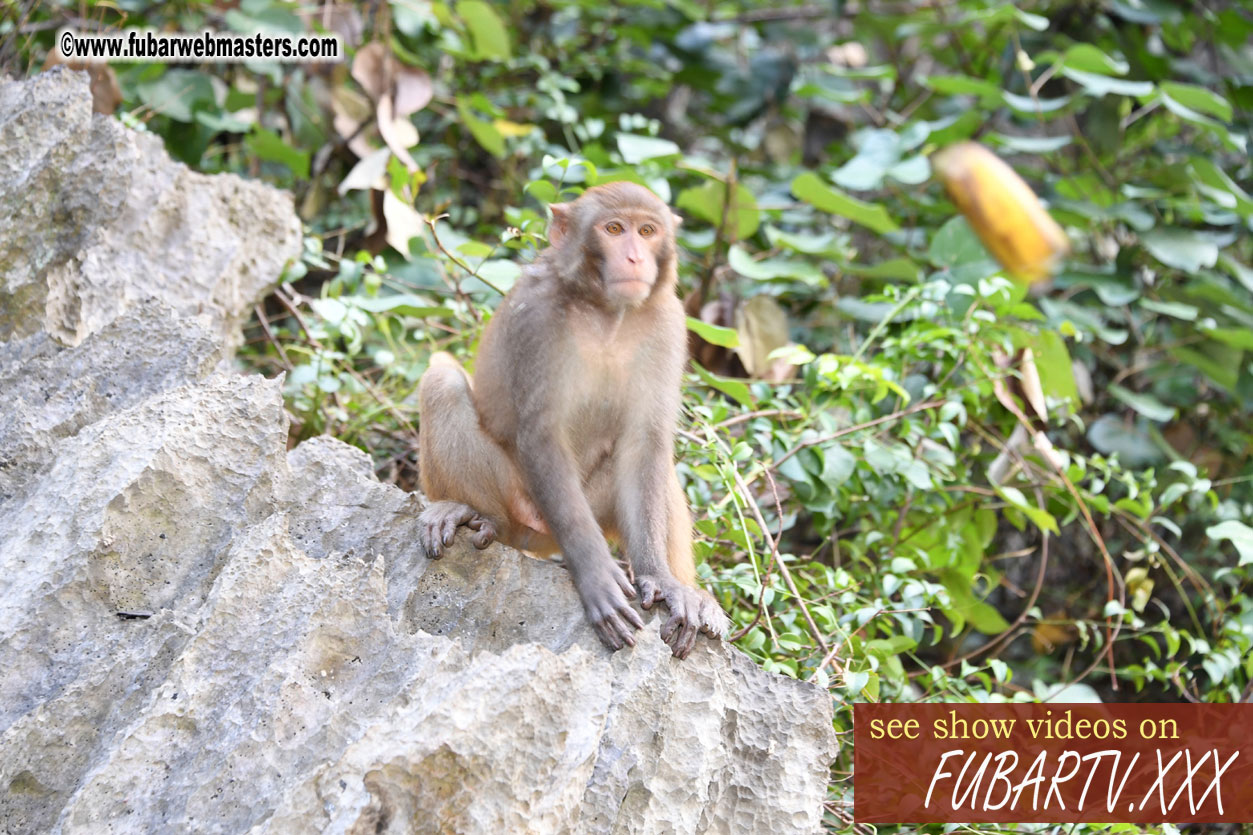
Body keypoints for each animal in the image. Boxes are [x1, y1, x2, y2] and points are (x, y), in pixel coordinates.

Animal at [421, 180, 731, 656]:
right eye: (614, 229)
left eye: (647, 231)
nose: (635, 258)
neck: (606, 312)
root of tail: (533, 540)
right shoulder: (536, 317)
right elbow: (541, 436)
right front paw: (596, 577)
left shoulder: (667, 323)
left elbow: (645, 444)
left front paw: (661, 579)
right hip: (523, 503)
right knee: (443, 381)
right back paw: (471, 513)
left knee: (660, 468)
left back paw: (696, 599)